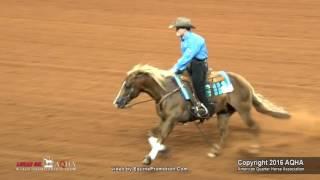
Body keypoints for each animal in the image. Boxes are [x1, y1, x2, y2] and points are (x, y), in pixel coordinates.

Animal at [114, 64, 292, 165]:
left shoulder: (171, 120)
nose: (117, 102)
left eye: (128, 85)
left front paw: (149, 158)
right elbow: (152, 134)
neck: (167, 91)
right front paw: (163, 150)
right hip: (224, 113)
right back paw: (215, 151)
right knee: (224, 132)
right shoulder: (164, 119)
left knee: (254, 127)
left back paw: (254, 150)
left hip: (244, 109)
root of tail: (246, 83)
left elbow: (161, 136)